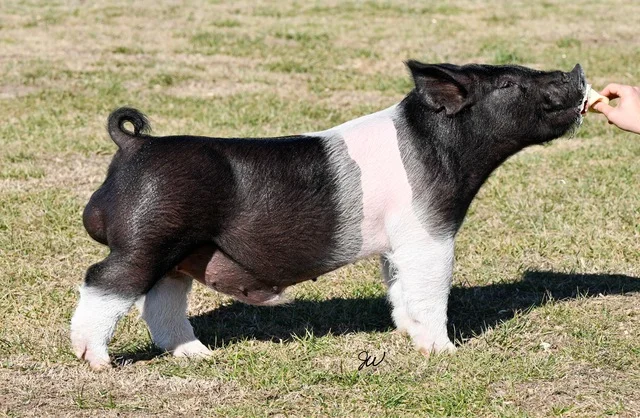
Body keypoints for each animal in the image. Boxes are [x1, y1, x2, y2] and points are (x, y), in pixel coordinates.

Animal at [71, 61, 587, 369]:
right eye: (508, 84)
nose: (577, 70)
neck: (443, 148)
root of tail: (134, 144)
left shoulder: (397, 244)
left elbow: (399, 290)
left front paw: (407, 335)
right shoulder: (429, 235)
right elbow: (431, 290)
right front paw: (444, 352)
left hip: (180, 252)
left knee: (161, 303)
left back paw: (199, 357)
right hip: (147, 239)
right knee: (103, 281)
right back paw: (97, 361)